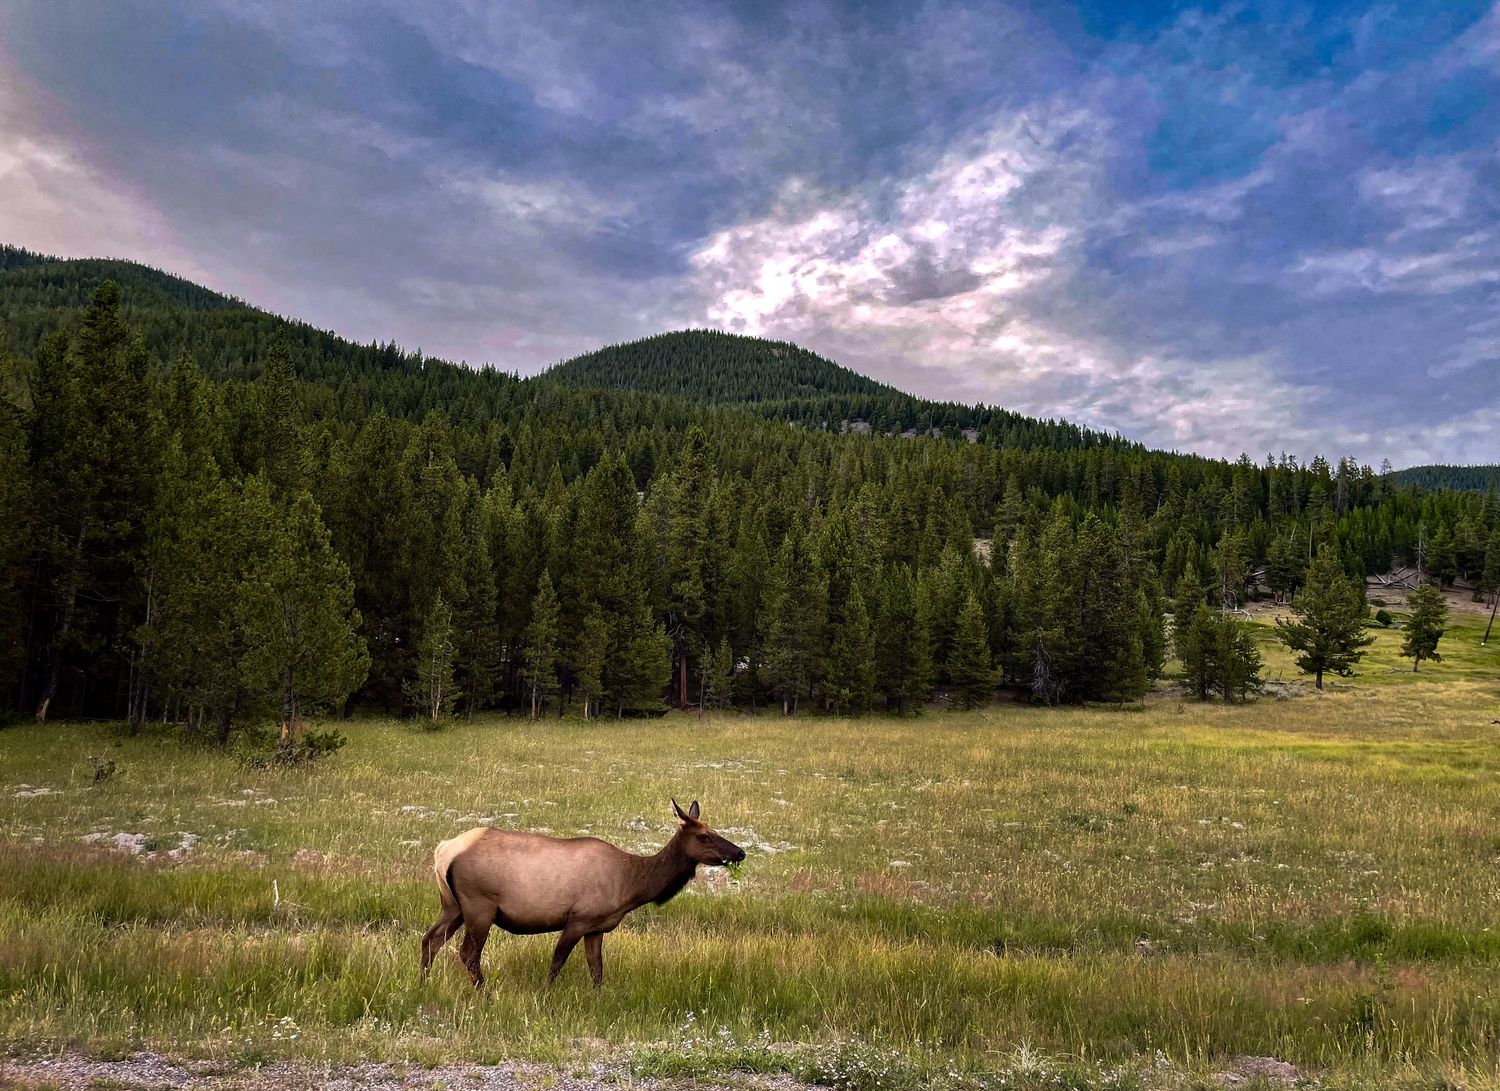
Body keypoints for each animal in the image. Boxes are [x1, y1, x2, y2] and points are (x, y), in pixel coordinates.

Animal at [421, 799, 745, 988]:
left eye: (714, 830)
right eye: (704, 836)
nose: (740, 852)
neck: (630, 886)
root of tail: (443, 851)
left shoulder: (596, 927)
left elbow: (597, 970)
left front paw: (598, 999)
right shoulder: (578, 919)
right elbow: (557, 963)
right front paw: (544, 996)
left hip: (452, 906)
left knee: (430, 939)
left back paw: (423, 985)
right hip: (479, 905)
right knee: (468, 953)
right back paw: (486, 994)